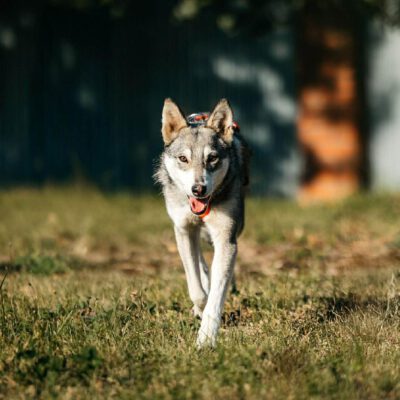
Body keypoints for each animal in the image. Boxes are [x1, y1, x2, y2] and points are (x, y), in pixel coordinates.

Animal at [155, 98, 250, 347]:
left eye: (212, 158)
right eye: (183, 159)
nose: (198, 189)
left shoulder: (226, 238)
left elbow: (216, 297)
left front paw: (206, 339)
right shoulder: (183, 229)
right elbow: (196, 288)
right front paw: (200, 306)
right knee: (200, 260)